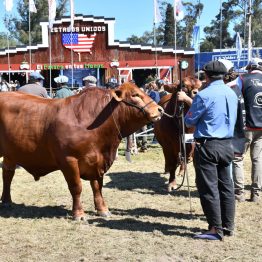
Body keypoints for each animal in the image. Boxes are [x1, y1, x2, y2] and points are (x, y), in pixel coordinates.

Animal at [0, 83, 163, 220]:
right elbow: (76, 187)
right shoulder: (69, 160)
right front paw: (78, 213)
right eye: (135, 95)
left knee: (8, 173)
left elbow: (97, 187)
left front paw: (103, 210)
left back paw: (7, 201)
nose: (160, 109)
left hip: (10, 153)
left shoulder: (97, 162)